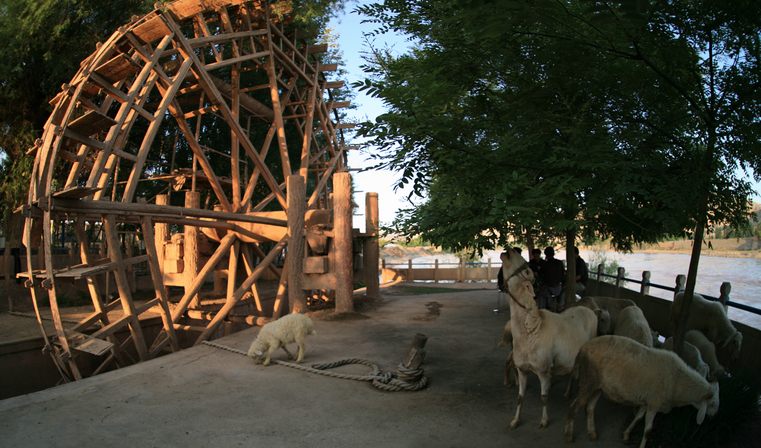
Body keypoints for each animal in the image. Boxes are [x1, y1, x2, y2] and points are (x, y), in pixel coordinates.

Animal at [564, 336, 720, 448]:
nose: (713, 417)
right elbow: (648, 431)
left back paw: (592, 433)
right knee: (573, 407)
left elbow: (638, 418)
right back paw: (569, 436)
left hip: (598, 386)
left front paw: (626, 435)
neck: (678, 382)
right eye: (712, 404)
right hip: (588, 380)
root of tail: (582, 348)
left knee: (590, 408)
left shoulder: (647, 401)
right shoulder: (655, 403)